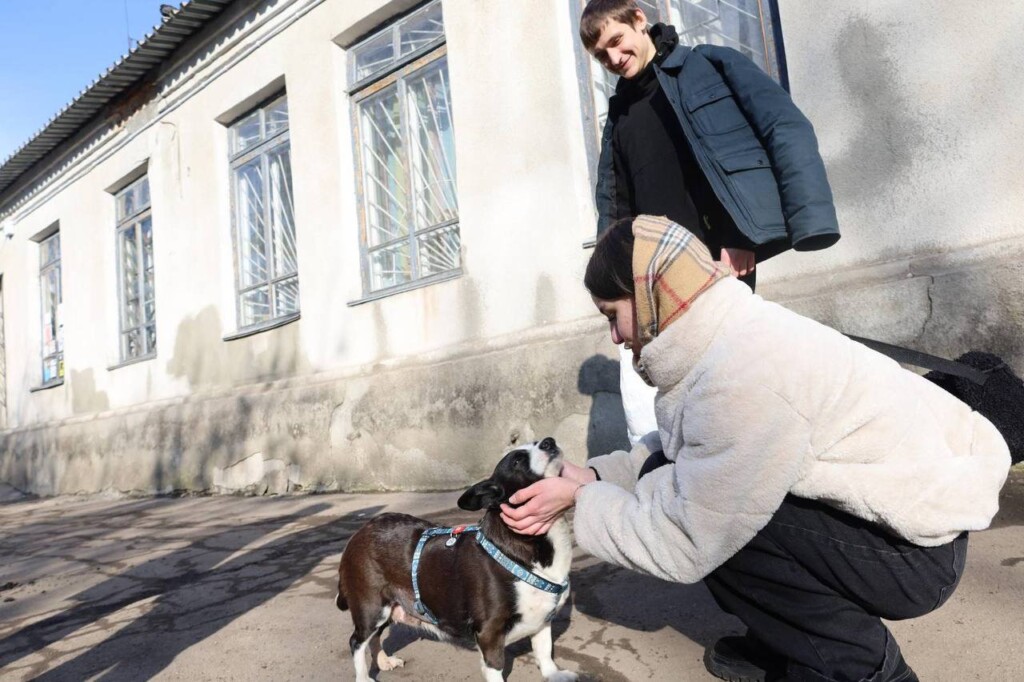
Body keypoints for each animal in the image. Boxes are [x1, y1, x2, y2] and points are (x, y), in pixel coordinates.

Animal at [335, 436, 577, 679]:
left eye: (538, 442)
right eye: (517, 460)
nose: (549, 441)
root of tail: (360, 532)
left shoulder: (542, 621)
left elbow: (544, 651)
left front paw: (553, 674)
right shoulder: (490, 632)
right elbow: (496, 668)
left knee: (374, 637)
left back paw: (383, 661)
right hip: (372, 606)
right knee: (357, 641)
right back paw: (364, 677)